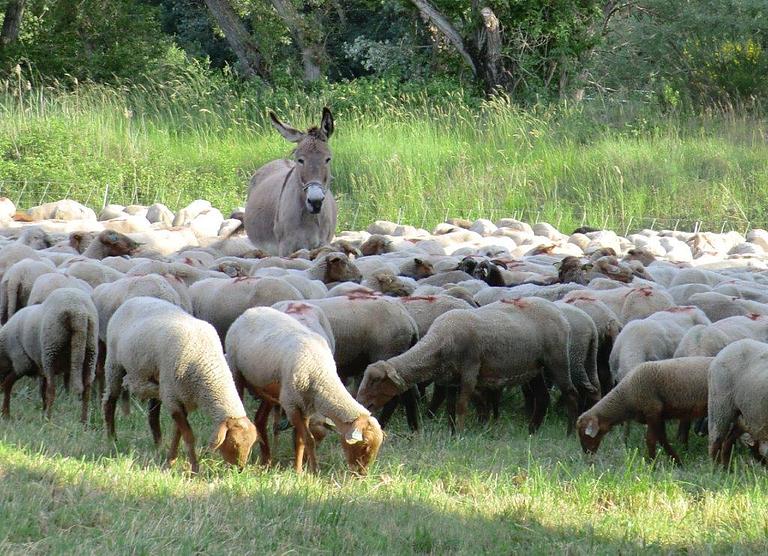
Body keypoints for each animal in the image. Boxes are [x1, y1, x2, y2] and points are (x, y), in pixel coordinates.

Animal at [0, 288, 99, 424]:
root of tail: (78, 311)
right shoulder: (38, 369)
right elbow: (41, 391)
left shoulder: (22, 363)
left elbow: (8, 384)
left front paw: (5, 414)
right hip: (90, 351)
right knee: (87, 389)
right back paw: (83, 422)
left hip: (51, 350)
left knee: (51, 390)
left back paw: (48, 420)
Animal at [100, 298, 258, 472]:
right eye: (235, 443)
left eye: (251, 443)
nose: (240, 469)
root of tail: (133, 299)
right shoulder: (172, 396)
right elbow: (188, 436)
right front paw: (195, 468)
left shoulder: (182, 398)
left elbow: (177, 434)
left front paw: (170, 461)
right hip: (114, 365)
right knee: (109, 402)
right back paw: (112, 439)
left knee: (152, 415)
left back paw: (158, 445)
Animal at [226, 308, 384, 474]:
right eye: (365, 445)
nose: (362, 474)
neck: (321, 374)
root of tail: (248, 312)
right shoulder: (291, 405)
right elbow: (308, 439)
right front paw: (314, 471)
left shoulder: (305, 406)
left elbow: (300, 440)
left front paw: (298, 470)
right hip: (236, 372)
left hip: (267, 389)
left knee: (260, 420)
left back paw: (267, 461)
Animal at [354, 300, 576, 434]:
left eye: (376, 381)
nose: (360, 403)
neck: (440, 342)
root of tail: (559, 313)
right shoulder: (451, 380)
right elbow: (451, 408)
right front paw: (452, 432)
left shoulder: (470, 371)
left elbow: (461, 406)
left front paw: (460, 434)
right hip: (535, 367)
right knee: (543, 397)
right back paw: (532, 430)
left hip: (557, 359)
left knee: (571, 393)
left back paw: (570, 432)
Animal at [576, 358, 712, 462]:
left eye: (584, 433)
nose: (586, 453)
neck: (626, 396)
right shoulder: (657, 415)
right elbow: (657, 439)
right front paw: (664, 461)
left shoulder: (652, 410)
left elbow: (654, 439)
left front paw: (658, 463)